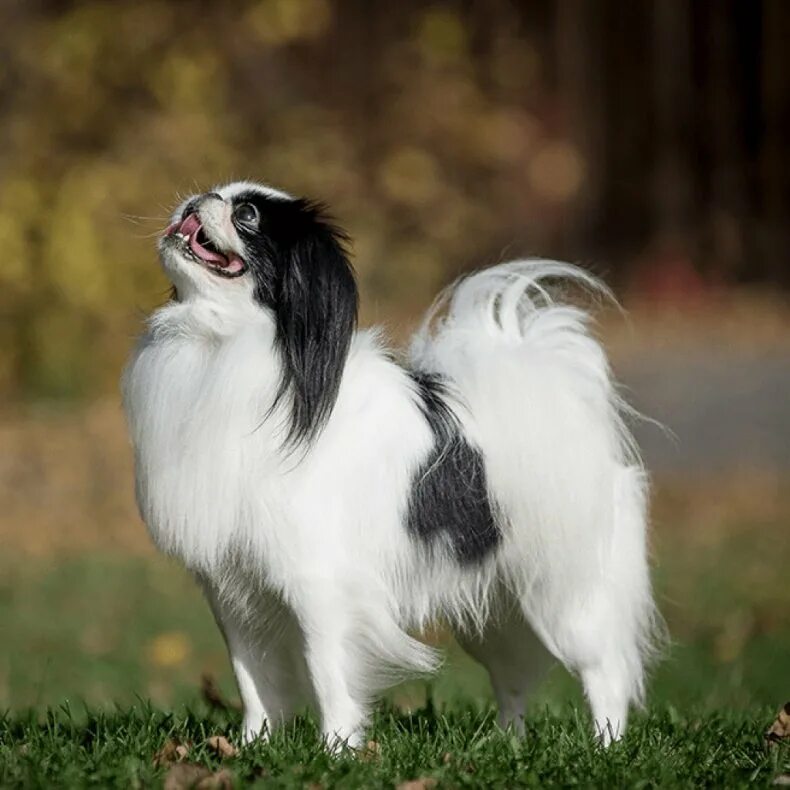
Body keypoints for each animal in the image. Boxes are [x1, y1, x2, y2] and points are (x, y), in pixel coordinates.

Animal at [120, 183, 660, 752]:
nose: (199, 199)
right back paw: (506, 747)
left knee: (604, 671)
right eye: (216, 193)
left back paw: (605, 747)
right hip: (496, 616)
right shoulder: (235, 593)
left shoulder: (319, 587)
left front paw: (335, 751)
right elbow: (255, 683)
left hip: (561, 596)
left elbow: (328, 675)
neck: (223, 345)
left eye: (246, 216)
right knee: (512, 683)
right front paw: (252, 748)